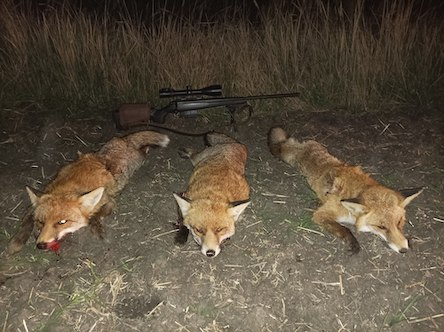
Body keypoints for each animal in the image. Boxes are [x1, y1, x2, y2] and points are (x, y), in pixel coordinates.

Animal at [6, 130, 169, 254]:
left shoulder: (109, 201)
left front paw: (98, 230)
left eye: (62, 222)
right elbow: (26, 219)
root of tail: (122, 140)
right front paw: (17, 242)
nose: (41, 245)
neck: (68, 188)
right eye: (41, 221)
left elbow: (94, 217)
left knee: (143, 151)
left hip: (136, 161)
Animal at [268, 127, 422, 254]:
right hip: (286, 156)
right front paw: (353, 242)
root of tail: (303, 145)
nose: (403, 250)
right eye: (381, 227)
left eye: (399, 222)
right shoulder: (320, 215)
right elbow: (344, 228)